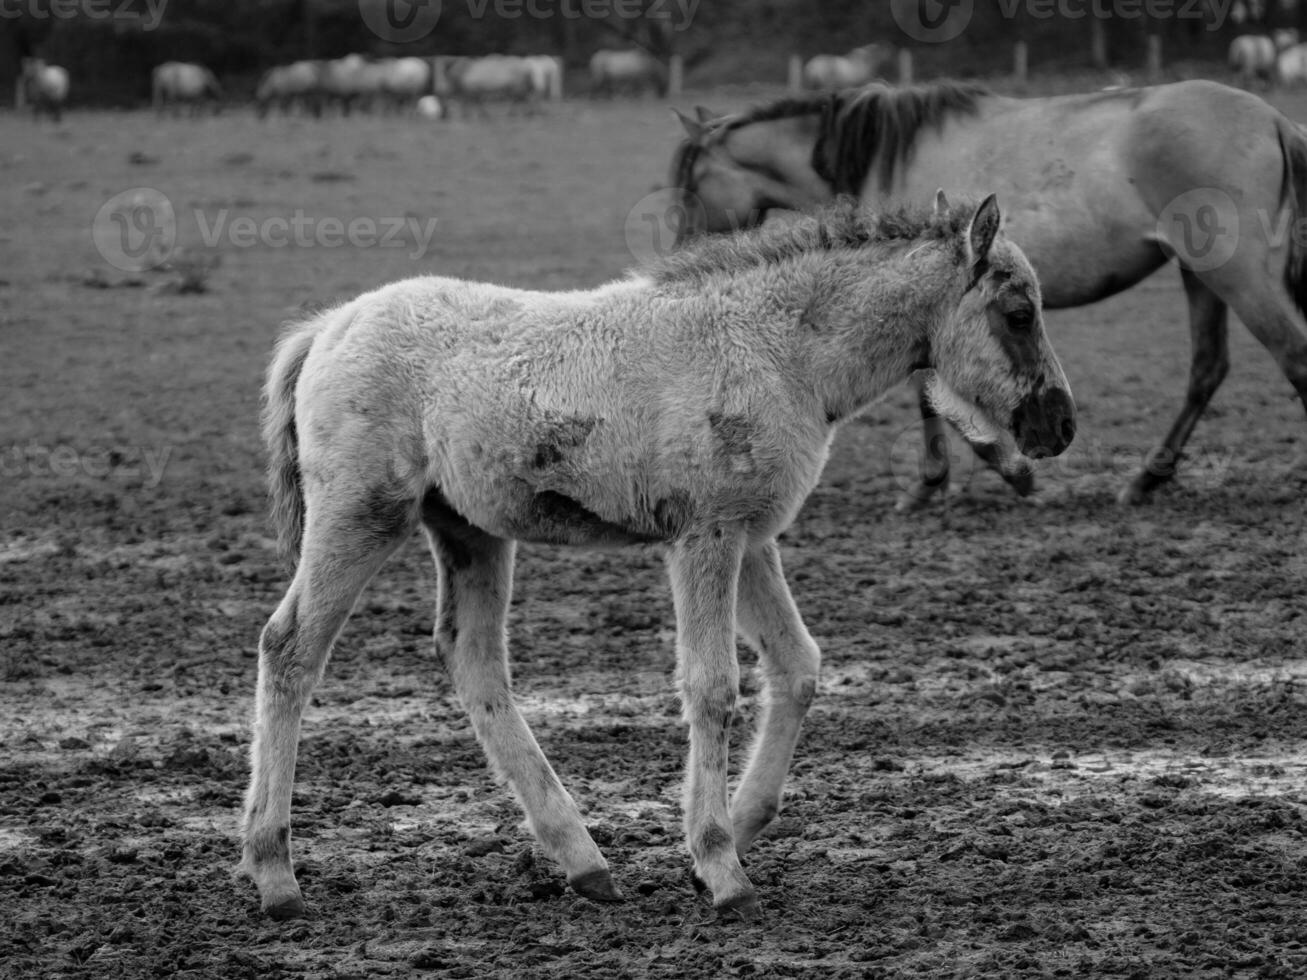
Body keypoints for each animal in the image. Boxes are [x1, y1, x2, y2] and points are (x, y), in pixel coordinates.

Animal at [240, 192, 1076, 919]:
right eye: (1018, 313)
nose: (1059, 425)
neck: (779, 346)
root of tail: (328, 327)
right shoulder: (703, 537)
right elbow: (711, 687)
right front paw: (718, 864)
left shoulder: (752, 536)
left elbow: (797, 667)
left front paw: (739, 825)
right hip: (360, 514)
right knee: (290, 647)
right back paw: (276, 872)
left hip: (471, 532)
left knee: (473, 662)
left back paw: (584, 861)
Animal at [669, 80, 1307, 506]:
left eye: (691, 181)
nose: (678, 255)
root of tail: (1273, 118)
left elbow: (930, 397)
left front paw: (956, 479)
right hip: (1201, 275)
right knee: (1208, 368)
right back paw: (1149, 477)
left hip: (1238, 278)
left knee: (1290, 355)